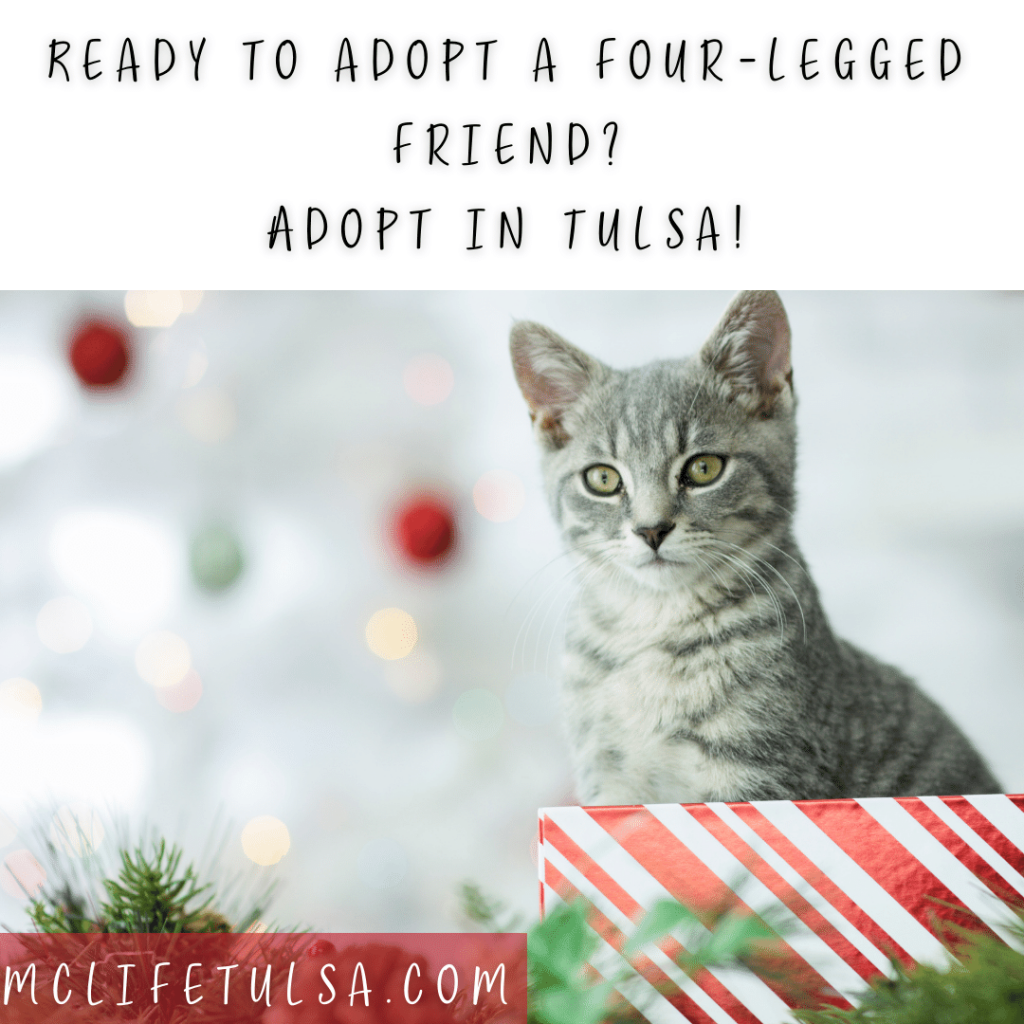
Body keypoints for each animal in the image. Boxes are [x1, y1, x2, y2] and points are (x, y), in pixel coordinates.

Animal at [512, 292, 999, 802]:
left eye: (704, 468)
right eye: (603, 479)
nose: (651, 529)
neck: (654, 626)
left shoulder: (760, 775)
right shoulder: (607, 785)